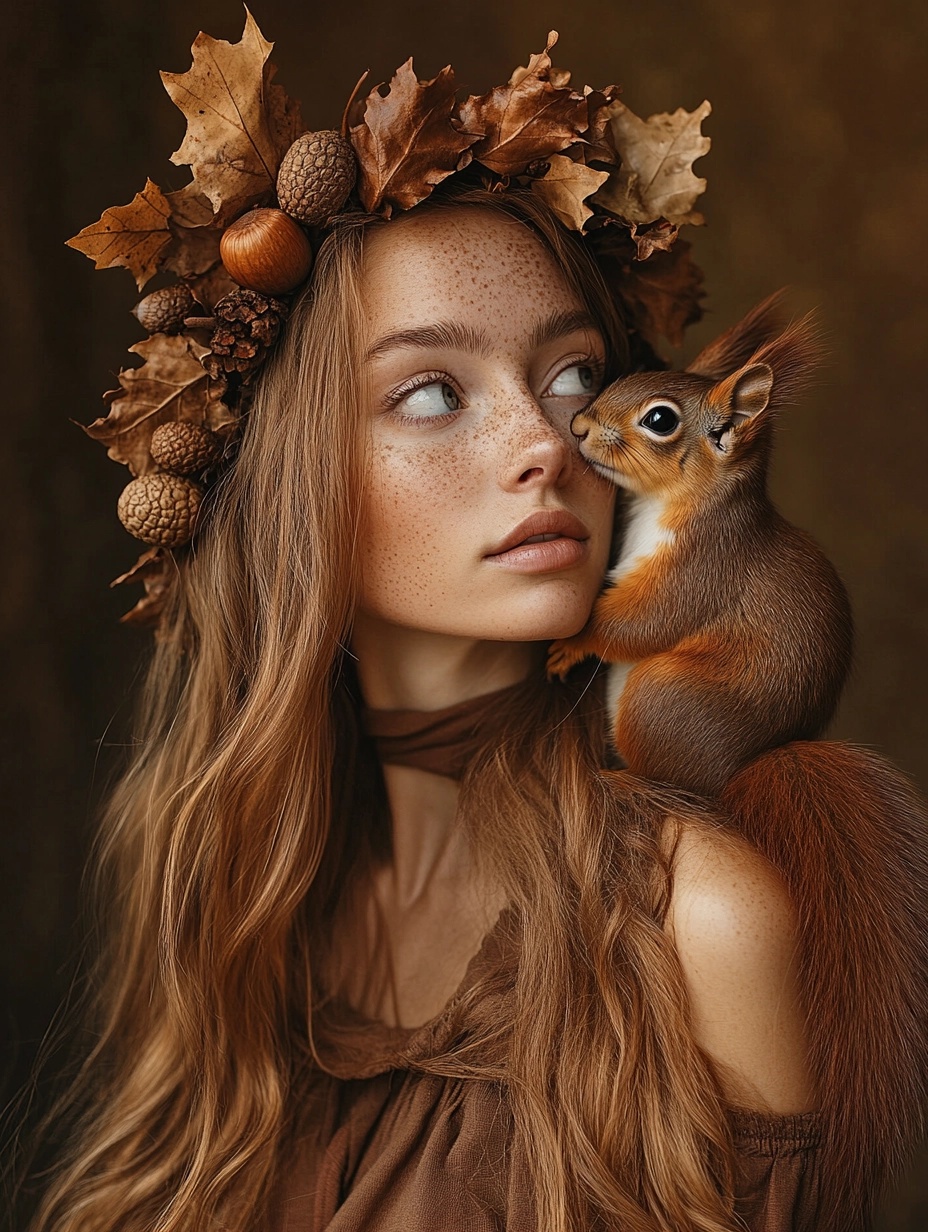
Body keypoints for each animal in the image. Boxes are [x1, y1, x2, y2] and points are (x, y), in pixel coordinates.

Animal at [547, 295, 852, 798]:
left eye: (660, 419)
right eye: (631, 376)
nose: (579, 426)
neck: (659, 503)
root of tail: (735, 774)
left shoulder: (705, 564)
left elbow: (644, 622)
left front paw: (574, 642)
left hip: (661, 697)